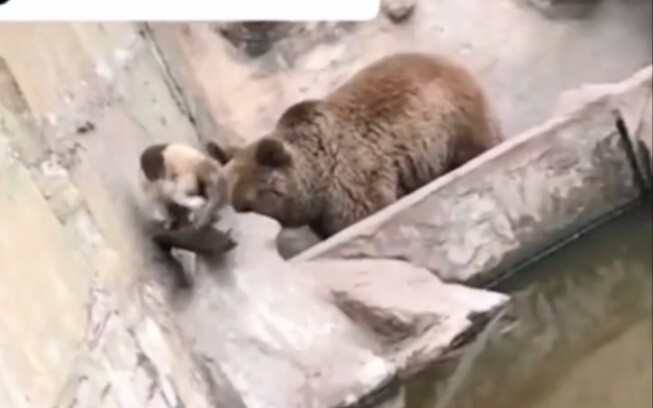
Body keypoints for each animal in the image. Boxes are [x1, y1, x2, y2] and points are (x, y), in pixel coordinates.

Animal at [207, 52, 503, 240]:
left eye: (246, 204)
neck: (315, 179)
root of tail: (449, 62)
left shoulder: (352, 178)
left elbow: (361, 211)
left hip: (451, 120)